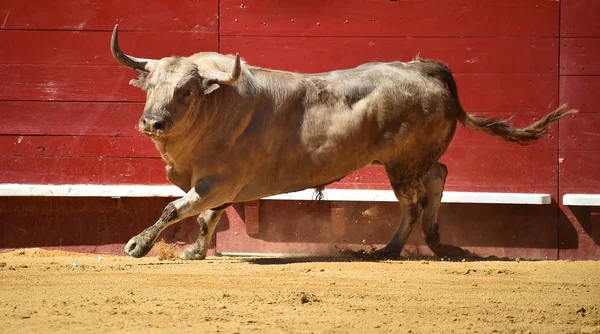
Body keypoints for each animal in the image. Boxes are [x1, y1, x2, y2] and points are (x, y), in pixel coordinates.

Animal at [110, 25, 580, 260]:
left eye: (187, 91)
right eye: (150, 85)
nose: (152, 122)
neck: (218, 107)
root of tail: (422, 69)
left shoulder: (219, 181)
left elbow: (177, 208)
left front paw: (137, 245)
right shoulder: (223, 187)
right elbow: (207, 217)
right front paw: (194, 252)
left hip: (400, 164)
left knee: (413, 201)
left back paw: (390, 249)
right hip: (413, 160)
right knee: (437, 178)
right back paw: (436, 242)